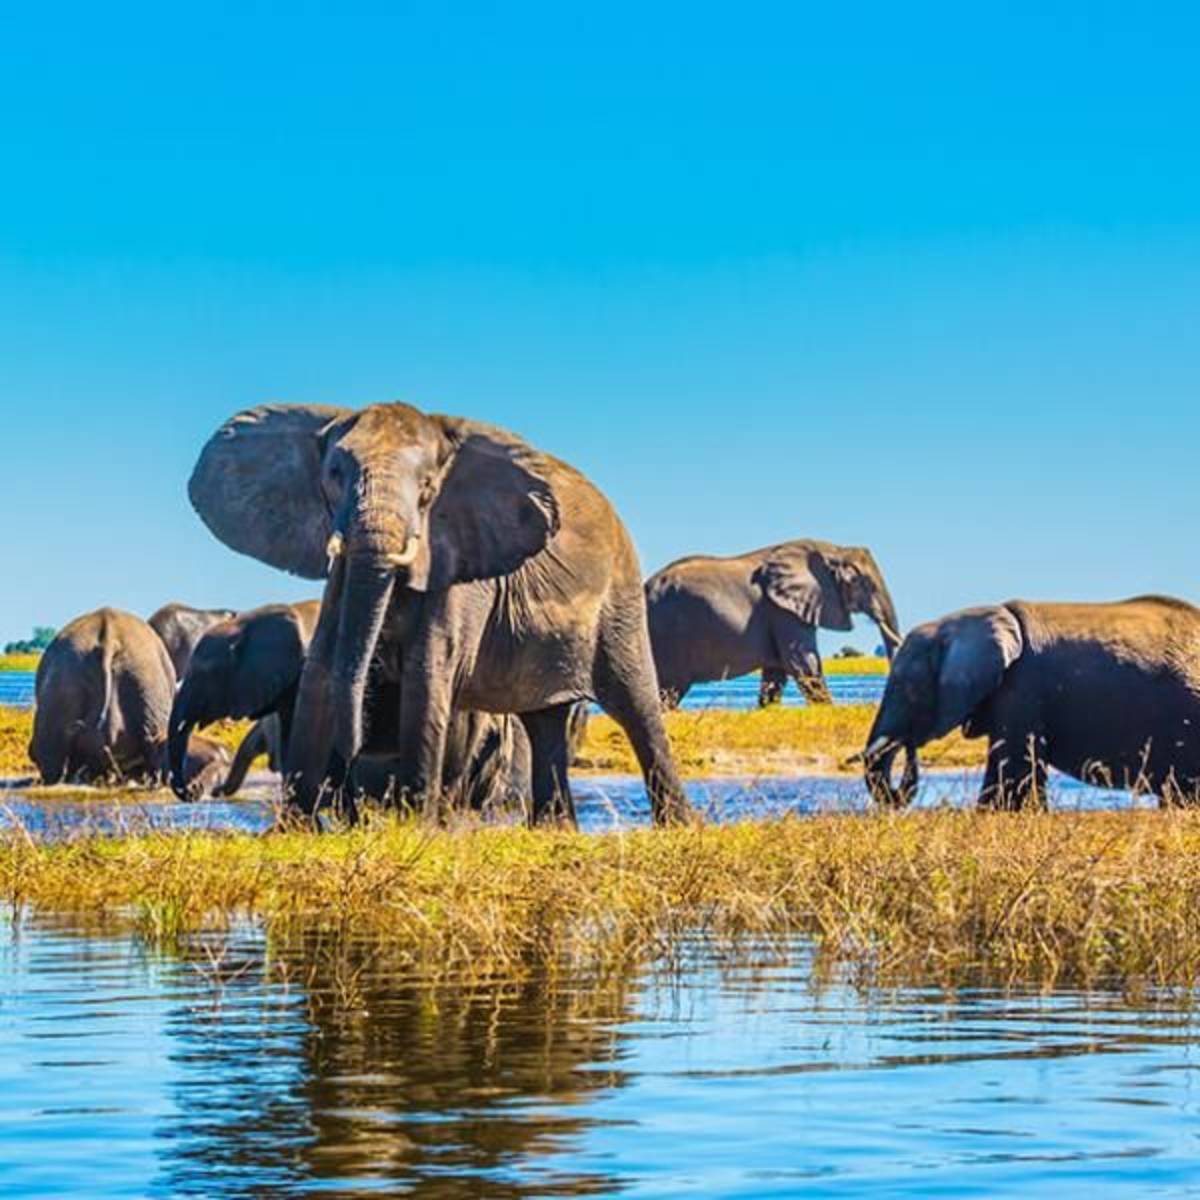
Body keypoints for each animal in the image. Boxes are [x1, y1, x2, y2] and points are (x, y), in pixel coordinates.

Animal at [187, 401, 691, 825]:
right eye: (333, 474)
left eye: (428, 489)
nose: (353, 753)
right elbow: (322, 669)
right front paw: (296, 830)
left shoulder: (461, 565)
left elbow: (427, 671)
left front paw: (414, 826)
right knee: (542, 720)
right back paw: (556, 830)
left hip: (620, 597)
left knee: (636, 706)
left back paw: (678, 826)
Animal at [644, 540, 901, 708]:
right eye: (865, 584)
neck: (834, 550)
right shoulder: (783, 610)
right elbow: (802, 661)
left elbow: (776, 671)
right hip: (667, 633)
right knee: (670, 689)